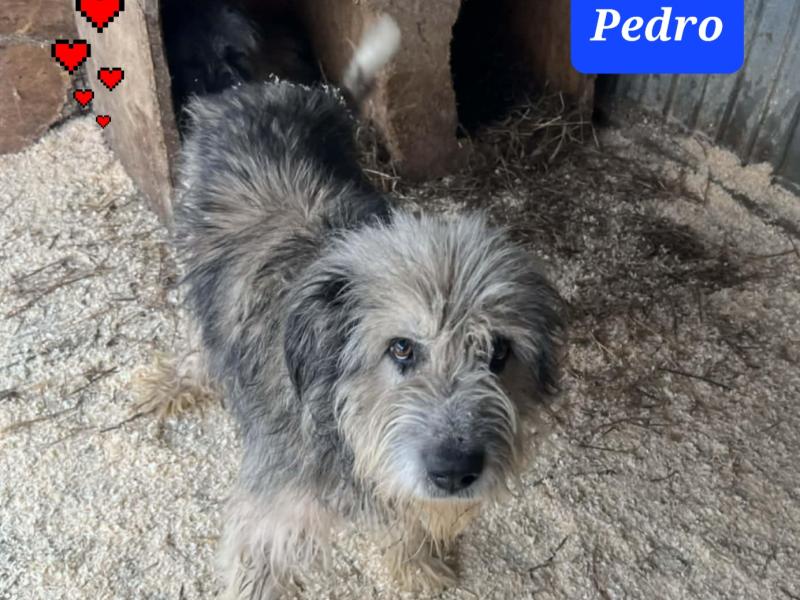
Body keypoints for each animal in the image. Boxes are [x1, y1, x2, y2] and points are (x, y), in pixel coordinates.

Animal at [156, 13, 564, 599]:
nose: (453, 471)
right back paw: (179, 378)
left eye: (499, 352)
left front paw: (417, 565)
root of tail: (255, 88)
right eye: (401, 348)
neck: (343, 421)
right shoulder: (266, 524)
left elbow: (407, 525)